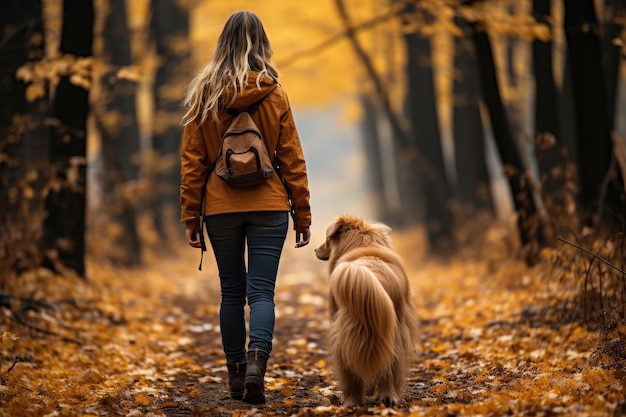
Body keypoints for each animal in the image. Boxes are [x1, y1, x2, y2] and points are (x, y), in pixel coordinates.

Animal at [312, 214, 420, 404]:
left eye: (328, 239)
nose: (315, 249)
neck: (366, 247)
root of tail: (371, 276)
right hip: (391, 334)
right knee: (387, 366)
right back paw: (386, 397)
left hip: (345, 339)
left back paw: (353, 400)